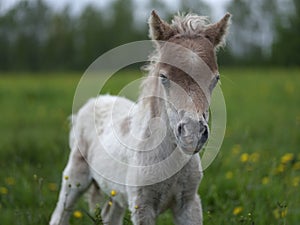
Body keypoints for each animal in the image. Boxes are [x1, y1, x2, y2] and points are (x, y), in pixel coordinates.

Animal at [50, 9, 231, 224]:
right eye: (164, 77)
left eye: (215, 79)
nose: (192, 133)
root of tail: (96, 101)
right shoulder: (142, 207)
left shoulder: (189, 204)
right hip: (74, 178)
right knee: (60, 213)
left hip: (116, 194)